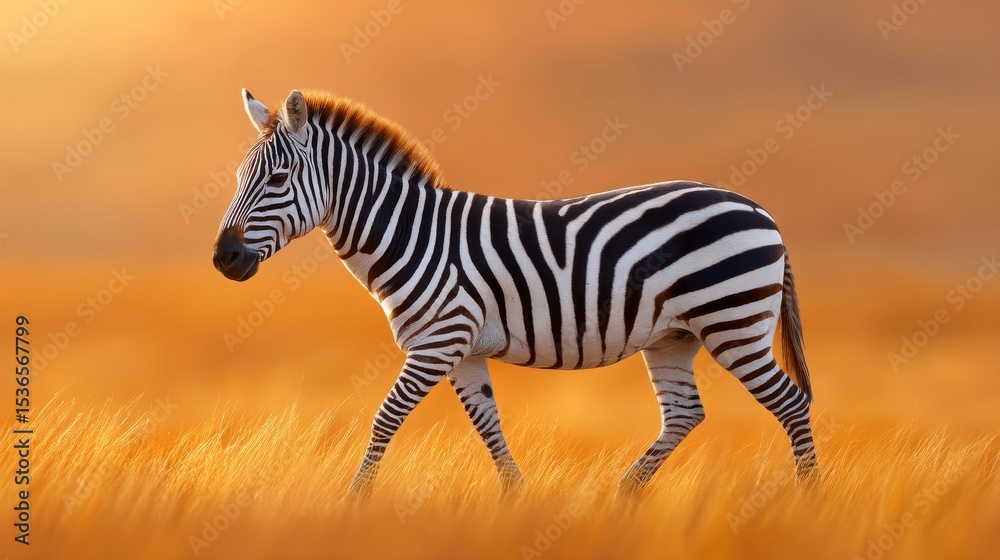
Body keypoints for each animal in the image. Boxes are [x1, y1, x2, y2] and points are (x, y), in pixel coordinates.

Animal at [213, 89, 817, 497]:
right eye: (239, 177)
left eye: (278, 179)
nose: (223, 258)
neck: (411, 234)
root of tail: (759, 209)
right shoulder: (463, 350)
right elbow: (489, 427)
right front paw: (516, 503)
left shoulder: (438, 341)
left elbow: (385, 417)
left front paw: (352, 504)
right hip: (673, 337)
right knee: (685, 414)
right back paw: (621, 498)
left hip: (732, 322)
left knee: (791, 403)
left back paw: (807, 504)